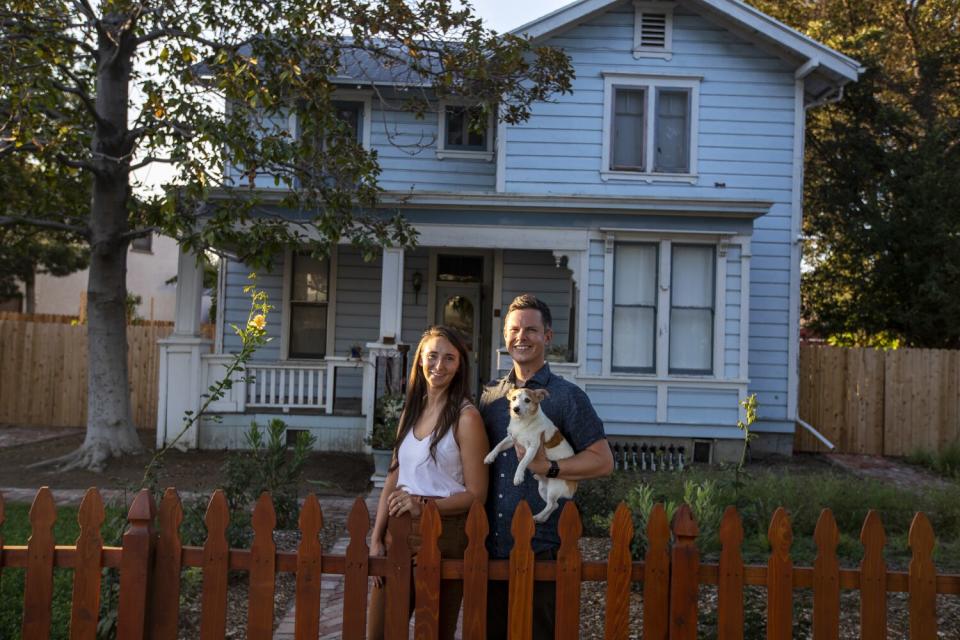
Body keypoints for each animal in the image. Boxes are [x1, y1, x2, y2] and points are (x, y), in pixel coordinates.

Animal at [484, 388, 572, 524]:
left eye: (527, 400)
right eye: (514, 398)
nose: (516, 409)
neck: (522, 423)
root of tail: (575, 485)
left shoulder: (532, 447)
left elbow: (523, 462)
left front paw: (518, 476)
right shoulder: (511, 439)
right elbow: (499, 445)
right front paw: (490, 456)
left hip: (554, 488)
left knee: (551, 505)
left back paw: (538, 516)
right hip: (543, 489)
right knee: (554, 505)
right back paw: (542, 518)